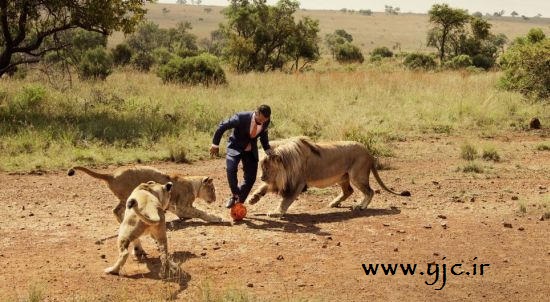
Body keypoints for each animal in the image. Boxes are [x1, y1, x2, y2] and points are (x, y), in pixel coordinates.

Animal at [248, 137, 412, 217]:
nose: (261, 177)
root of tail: (369, 153)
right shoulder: (280, 181)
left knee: (369, 191)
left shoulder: (297, 184)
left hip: (356, 175)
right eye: (261, 167)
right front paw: (253, 199)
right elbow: (263, 188)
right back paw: (334, 203)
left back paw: (360, 206)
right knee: (349, 191)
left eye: (267, 168)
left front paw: (276, 212)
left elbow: (285, 201)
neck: (287, 163)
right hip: (343, 177)